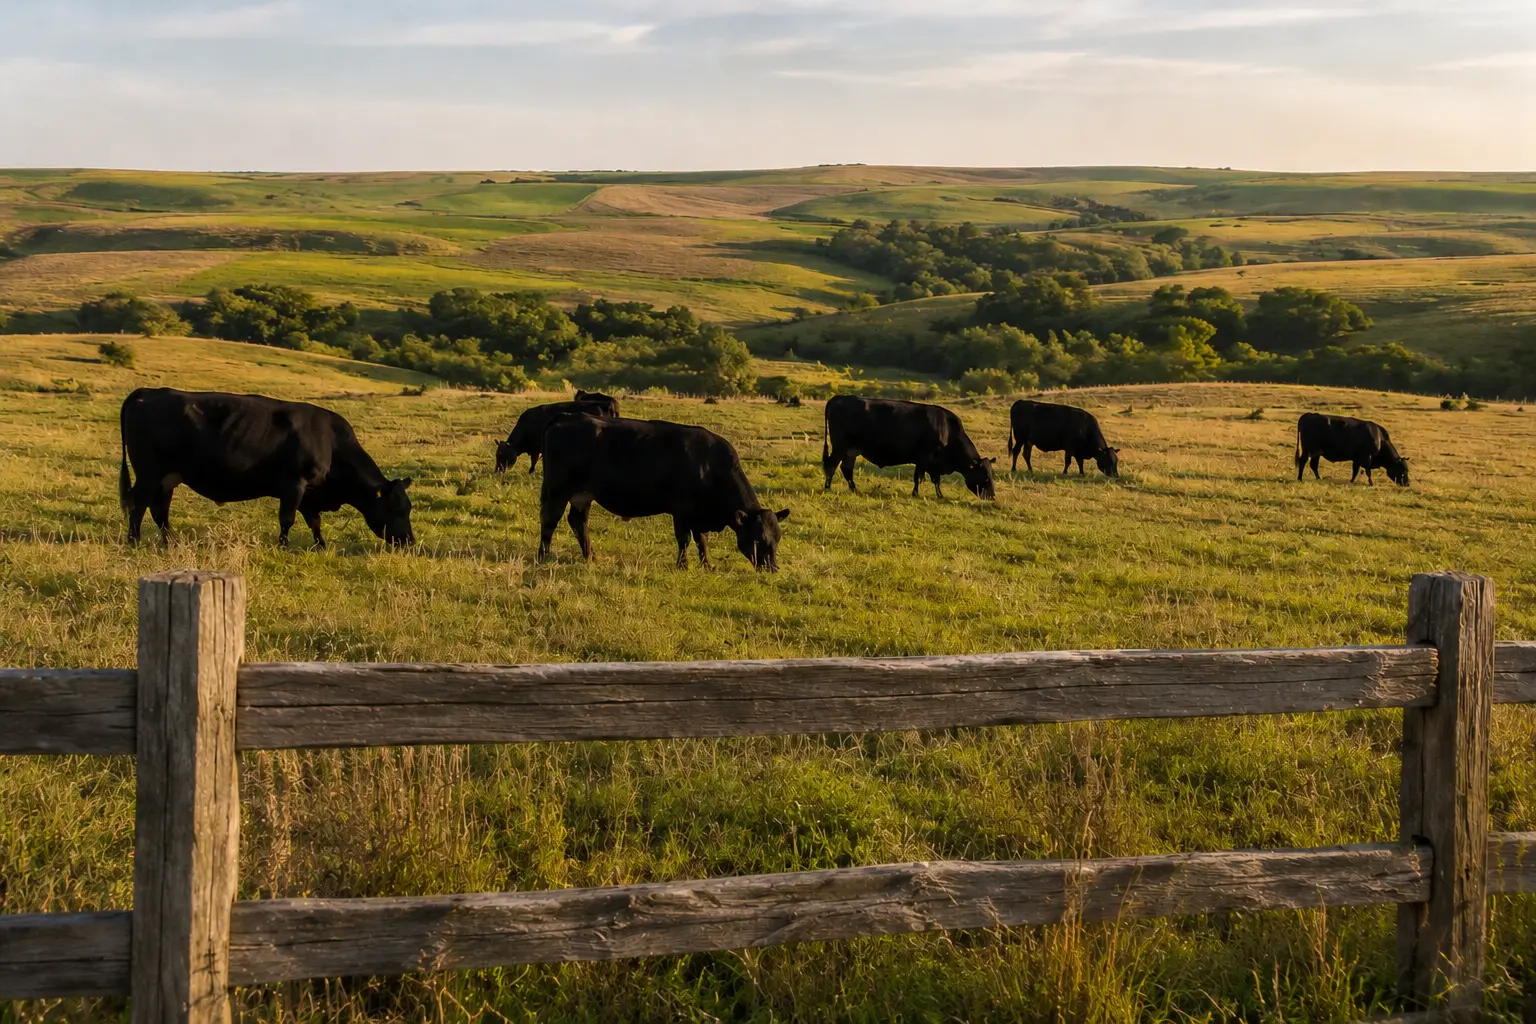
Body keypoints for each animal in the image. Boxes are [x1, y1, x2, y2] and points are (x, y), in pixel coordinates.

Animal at [118, 387, 415, 548]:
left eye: (408, 508)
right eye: (396, 509)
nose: (409, 541)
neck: (331, 444)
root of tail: (148, 392)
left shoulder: (310, 493)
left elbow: (314, 522)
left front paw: (321, 546)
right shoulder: (295, 484)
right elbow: (288, 519)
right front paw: (283, 546)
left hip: (167, 477)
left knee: (159, 510)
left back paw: (170, 542)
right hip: (148, 473)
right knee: (139, 504)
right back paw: (134, 541)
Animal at [538, 415, 789, 571]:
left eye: (777, 537)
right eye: (758, 539)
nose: (773, 567)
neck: (710, 466)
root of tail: (566, 416)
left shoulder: (697, 515)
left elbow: (702, 540)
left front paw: (707, 565)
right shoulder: (682, 511)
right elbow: (684, 539)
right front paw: (683, 566)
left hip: (583, 494)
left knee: (578, 521)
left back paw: (590, 556)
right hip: (557, 489)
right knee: (549, 520)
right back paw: (544, 556)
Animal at [821, 395, 995, 499]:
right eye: (986, 476)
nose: (992, 496)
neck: (947, 431)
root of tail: (840, 397)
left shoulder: (933, 464)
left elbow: (936, 481)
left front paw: (939, 495)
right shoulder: (924, 458)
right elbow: (918, 477)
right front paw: (915, 494)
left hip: (851, 451)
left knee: (846, 469)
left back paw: (854, 489)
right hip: (840, 448)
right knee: (831, 465)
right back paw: (828, 488)